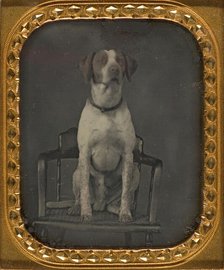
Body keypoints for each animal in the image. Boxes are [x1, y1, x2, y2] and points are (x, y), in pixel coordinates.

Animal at [69, 49, 140, 223]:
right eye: (101, 60)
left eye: (120, 60)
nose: (115, 69)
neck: (106, 108)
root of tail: (101, 203)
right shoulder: (85, 153)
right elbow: (85, 191)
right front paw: (86, 214)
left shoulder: (128, 155)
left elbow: (125, 193)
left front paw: (125, 214)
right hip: (77, 173)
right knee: (79, 195)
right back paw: (77, 208)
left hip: (136, 171)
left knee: (121, 198)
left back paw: (118, 209)